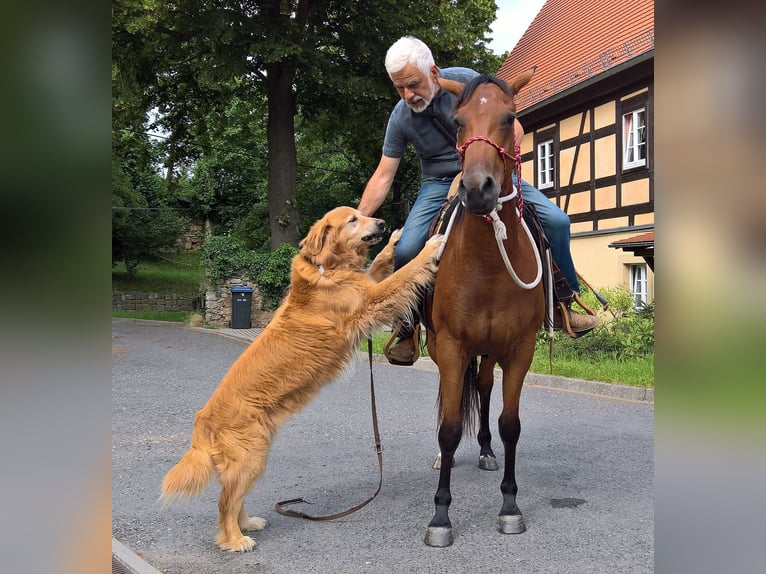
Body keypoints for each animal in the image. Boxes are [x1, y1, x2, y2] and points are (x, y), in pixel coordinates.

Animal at [422, 70, 544, 547]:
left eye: (509, 118)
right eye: (458, 122)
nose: (477, 190)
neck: (489, 264)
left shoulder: (520, 349)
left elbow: (512, 424)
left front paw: (510, 506)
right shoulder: (452, 346)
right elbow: (450, 427)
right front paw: (440, 515)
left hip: (490, 352)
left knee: (487, 388)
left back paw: (488, 450)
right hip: (440, 348)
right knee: (449, 400)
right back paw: (444, 458)